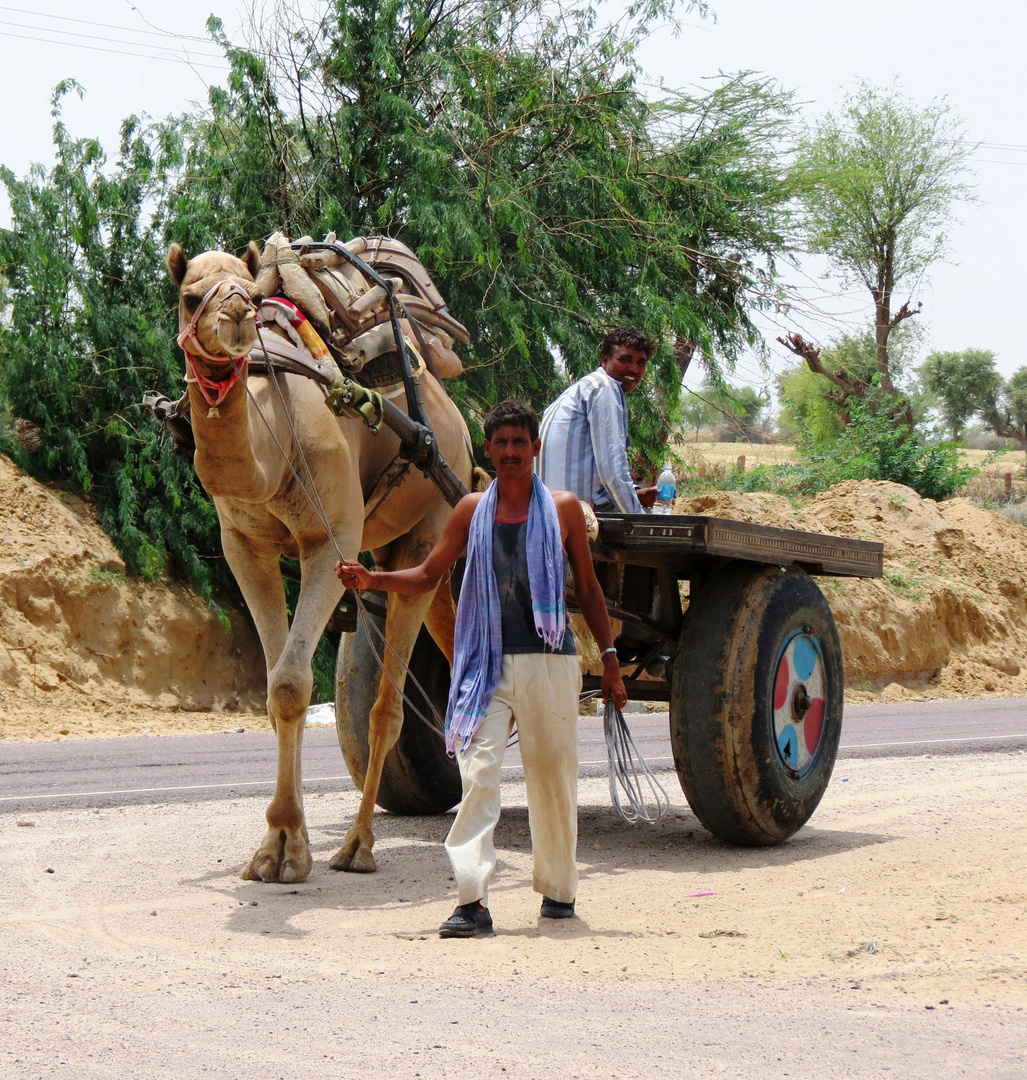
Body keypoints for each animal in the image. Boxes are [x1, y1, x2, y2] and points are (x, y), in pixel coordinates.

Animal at [168, 247, 473, 885]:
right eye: (189, 296)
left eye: (252, 293)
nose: (236, 315)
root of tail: (456, 427)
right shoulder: (245, 547)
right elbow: (275, 690)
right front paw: (277, 847)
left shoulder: (329, 542)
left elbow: (290, 683)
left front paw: (287, 846)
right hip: (404, 550)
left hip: (428, 521)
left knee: (386, 711)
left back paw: (359, 846)